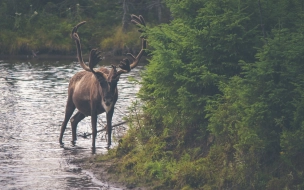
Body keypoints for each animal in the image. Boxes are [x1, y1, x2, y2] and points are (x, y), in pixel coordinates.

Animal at [59, 14, 147, 151]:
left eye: (116, 81)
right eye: (100, 82)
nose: (107, 99)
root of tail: (73, 77)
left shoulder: (111, 108)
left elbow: (109, 128)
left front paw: (109, 146)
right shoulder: (93, 107)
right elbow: (94, 130)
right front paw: (93, 148)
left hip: (83, 110)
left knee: (74, 120)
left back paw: (74, 141)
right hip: (71, 101)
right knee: (64, 122)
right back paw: (61, 142)